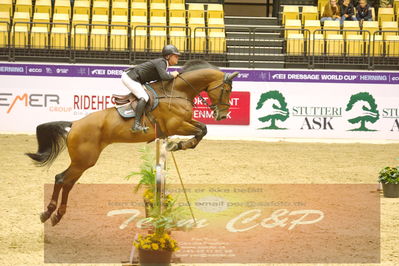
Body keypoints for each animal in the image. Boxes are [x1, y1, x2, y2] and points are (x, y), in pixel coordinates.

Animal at [26, 60, 239, 227]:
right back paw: (49, 213)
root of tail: (74, 124)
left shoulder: (184, 122)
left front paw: (180, 145)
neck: (178, 91)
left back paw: (56, 215)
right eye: (227, 89)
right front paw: (179, 145)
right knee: (61, 179)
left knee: (67, 182)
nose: (222, 115)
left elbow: (203, 128)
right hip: (83, 160)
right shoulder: (177, 125)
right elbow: (200, 131)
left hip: (83, 162)